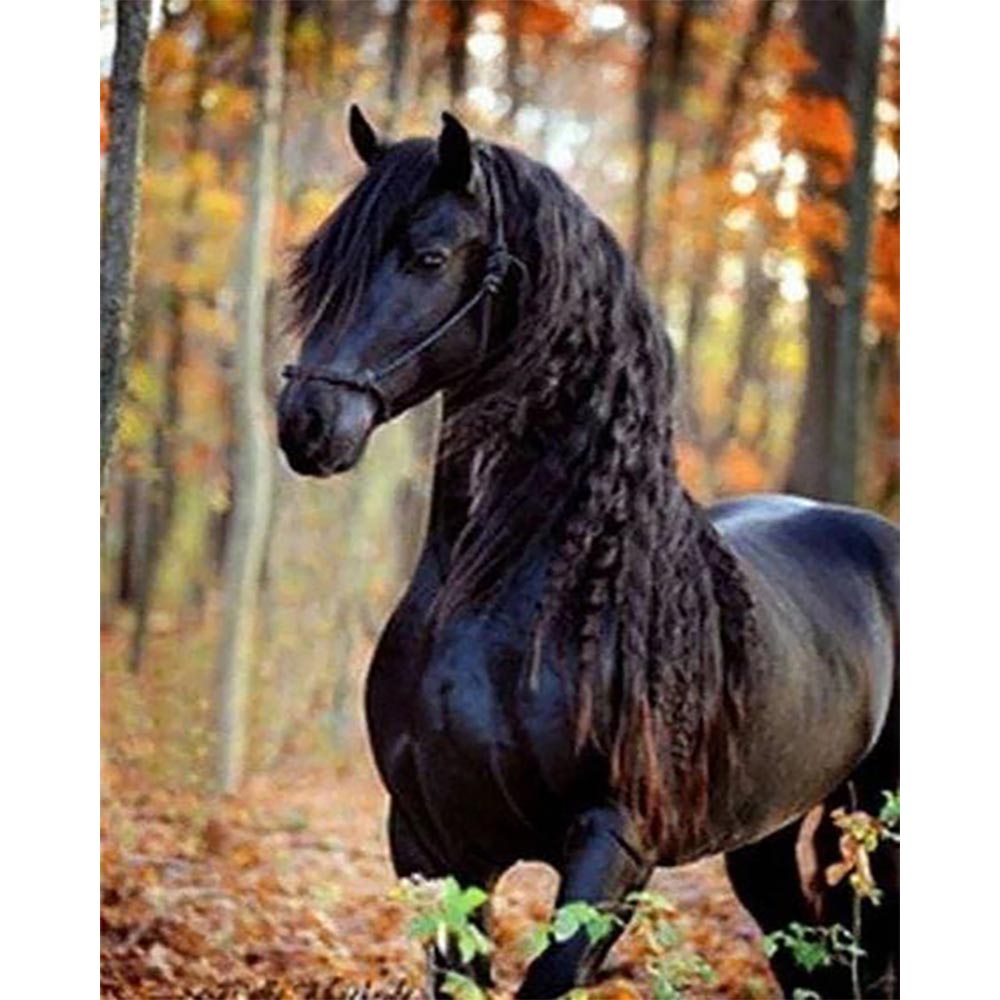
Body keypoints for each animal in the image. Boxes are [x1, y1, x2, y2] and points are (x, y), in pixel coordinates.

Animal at [276, 107, 899, 999]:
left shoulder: (613, 844)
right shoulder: (433, 844)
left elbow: (550, 973)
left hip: (883, 814)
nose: (308, 423)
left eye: (428, 257)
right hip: (763, 838)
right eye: (322, 262)